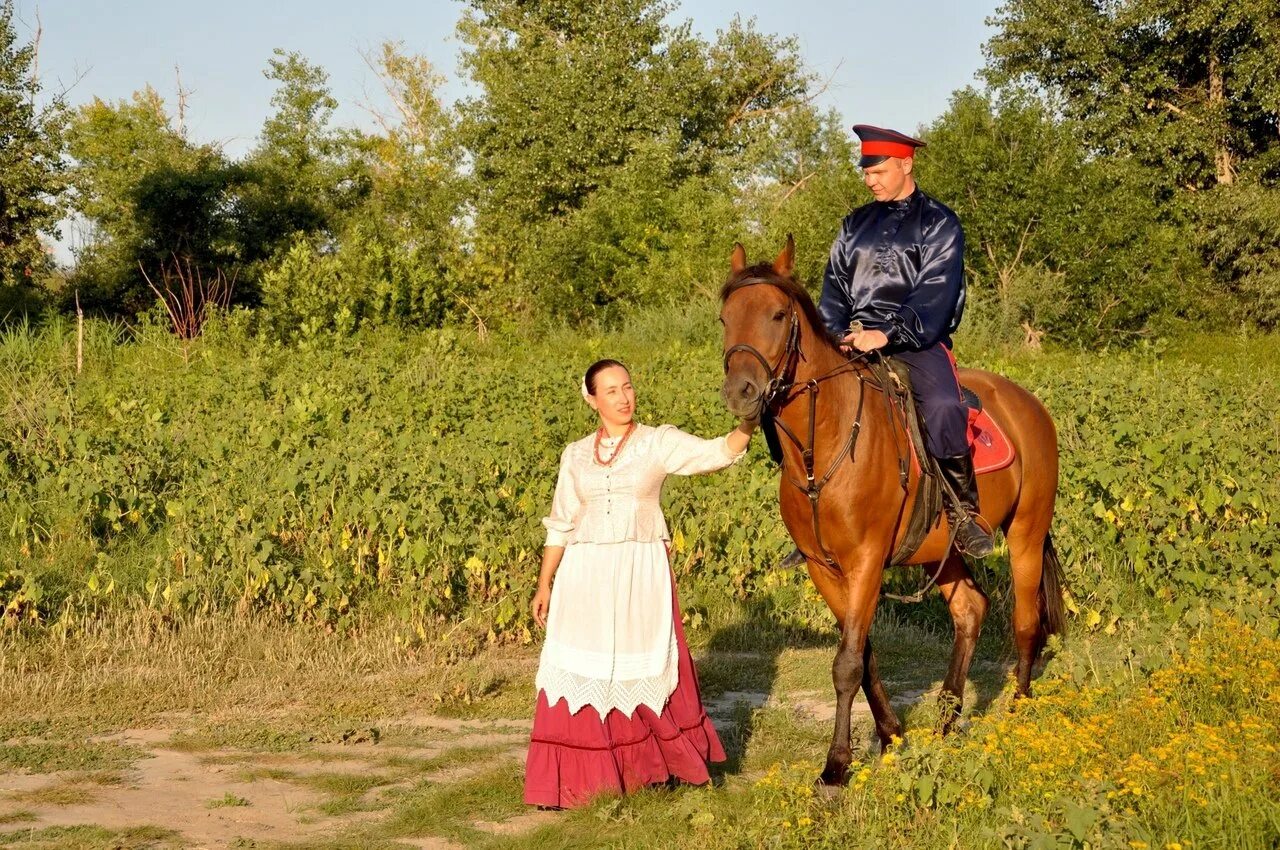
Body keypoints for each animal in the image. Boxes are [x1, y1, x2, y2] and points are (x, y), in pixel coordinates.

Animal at [721, 236, 1059, 783]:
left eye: (777, 314)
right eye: (725, 318)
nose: (741, 391)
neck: (825, 445)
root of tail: (1029, 404)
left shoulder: (866, 561)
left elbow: (846, 664)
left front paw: (836, 768)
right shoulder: (823, 567)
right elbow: (863, 656)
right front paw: (891, 736)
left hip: (1027, 532)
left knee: (1027, 622)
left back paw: (1018, 716)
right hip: (942, 549)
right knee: (971, 609)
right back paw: (945, 724)